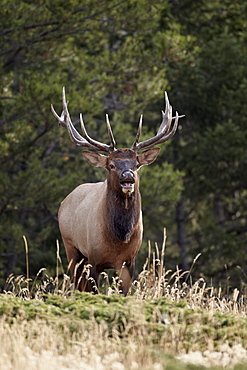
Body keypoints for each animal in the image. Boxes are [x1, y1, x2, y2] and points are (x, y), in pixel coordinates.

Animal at [51, 88, 183, 296]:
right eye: (112, 165)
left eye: (136, 164)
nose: (127, 176)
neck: (119, 239)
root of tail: (66, 199)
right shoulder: (94, 258)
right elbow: (93, 292)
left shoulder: (129, 261)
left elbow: (125, 293)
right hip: (70, 246)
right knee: (78, 284)